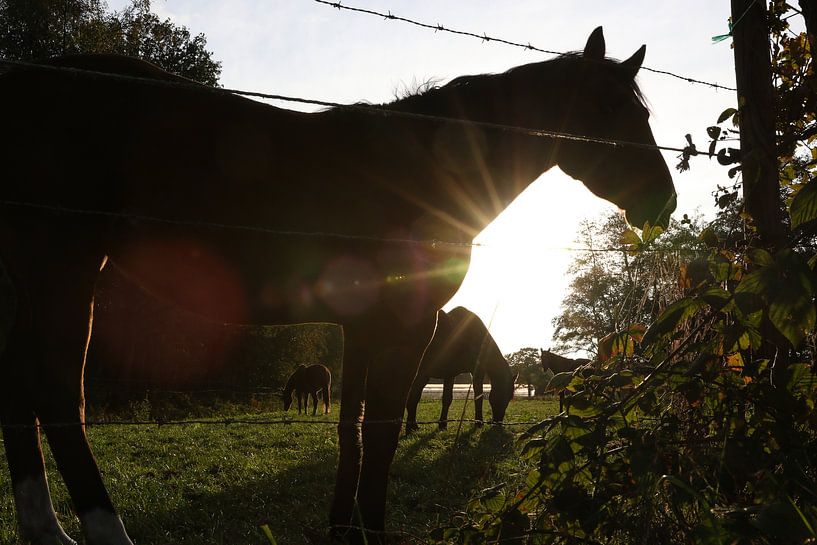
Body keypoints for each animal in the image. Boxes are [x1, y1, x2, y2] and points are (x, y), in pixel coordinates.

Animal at [404, 306, 512, 434]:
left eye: (510, 398)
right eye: (503, 394)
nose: (498, 423)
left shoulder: (451, 374)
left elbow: (447, 399)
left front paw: (443, 425)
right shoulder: (475, 371)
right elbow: (478, 396)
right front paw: (479, 423)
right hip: (422, 373)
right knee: (413, 396)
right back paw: (411, 427)